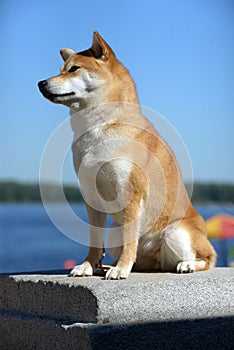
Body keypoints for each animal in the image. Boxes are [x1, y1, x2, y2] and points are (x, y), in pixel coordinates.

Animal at [38, 32, 216, 278]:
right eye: (61, 69)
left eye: (73, 69)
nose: (41, 83)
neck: (99, 127)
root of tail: (155, 260)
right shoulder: (91, 195)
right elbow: (95, 240)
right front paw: (88, 265)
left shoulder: (131, 191)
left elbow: (130, 238)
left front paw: (121, 269)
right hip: (115, 232)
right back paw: (113, 264)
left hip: (175, 233)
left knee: (208, 258)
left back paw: (187, 265)